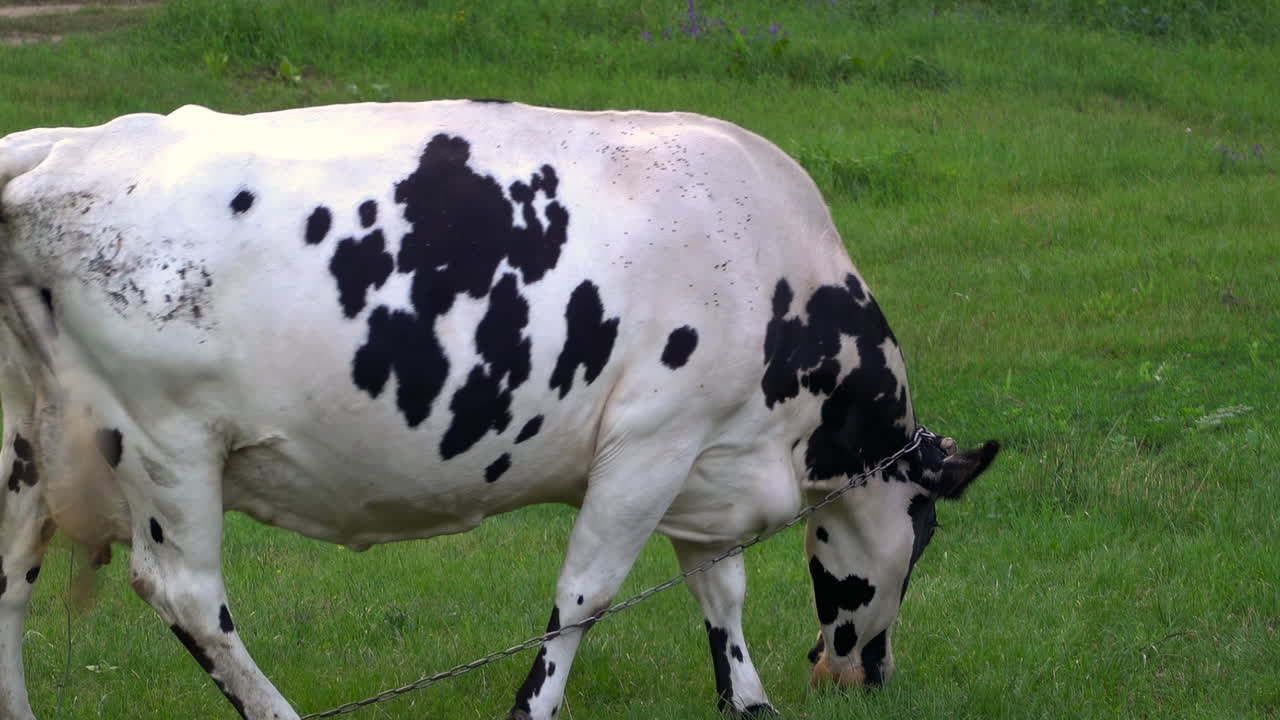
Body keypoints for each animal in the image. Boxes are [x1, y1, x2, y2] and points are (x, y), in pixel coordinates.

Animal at [0, 100, 999, 720]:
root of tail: (64, 147)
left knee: (10, 580)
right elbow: (587, 594)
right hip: (165, 442)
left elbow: (720, 586)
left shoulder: (706, 460)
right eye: (925, 534)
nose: (865, 674)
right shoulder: (653, 439)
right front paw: (535, 704)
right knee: (190, 598)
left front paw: (748, 699)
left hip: (23, 442)